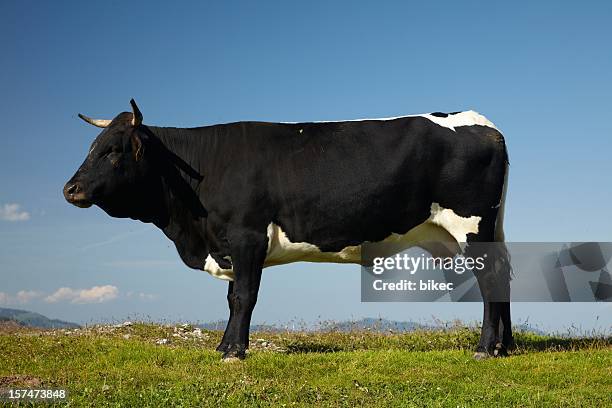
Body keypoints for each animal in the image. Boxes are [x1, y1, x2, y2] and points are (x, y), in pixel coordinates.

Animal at [63, 99, 512, 360]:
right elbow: (231, 298)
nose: (70, 189)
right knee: (502, 278)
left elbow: (243, 296)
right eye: (91, 147)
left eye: (113, 151)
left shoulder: (247, 236)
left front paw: (234, 352)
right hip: (484, 230)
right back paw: (505, 346)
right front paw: (224, 344)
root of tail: (484, 124)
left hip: (472, 227)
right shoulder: (231, 242)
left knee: (490, 281)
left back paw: (485, 349)